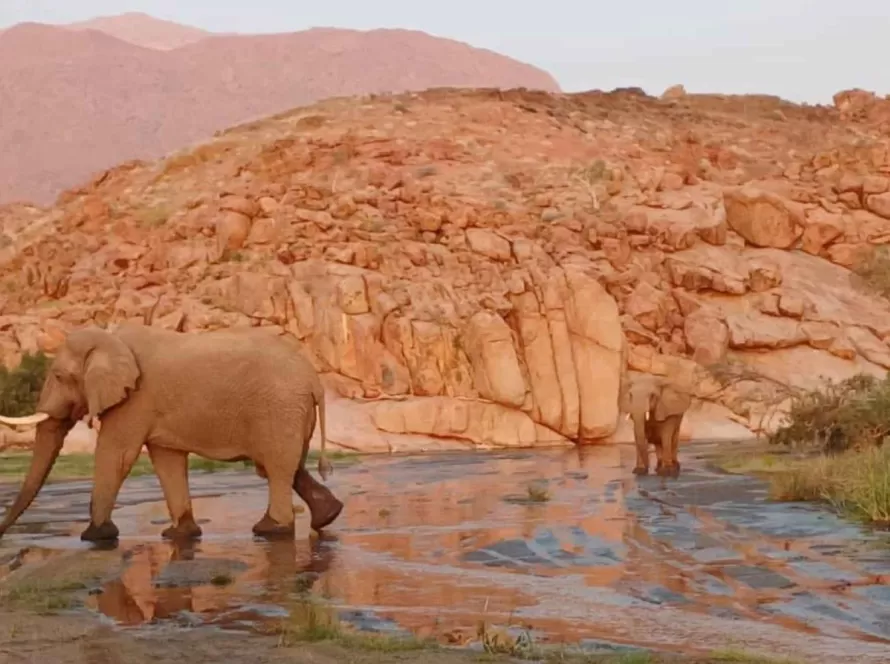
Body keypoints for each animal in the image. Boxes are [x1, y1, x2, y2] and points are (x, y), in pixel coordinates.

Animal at [0, 323, 344, 542]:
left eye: (59, 376)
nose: (3, 534)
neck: (110, 338)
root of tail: (314, 381)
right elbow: (167, 460)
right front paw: (180, 535)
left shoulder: (136, 399)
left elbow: (116, 454)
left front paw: (95, 537)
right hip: (290, 413)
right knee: (289, 465)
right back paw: (327, 516)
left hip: (279, 409)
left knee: (276, 467)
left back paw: (270, 530)